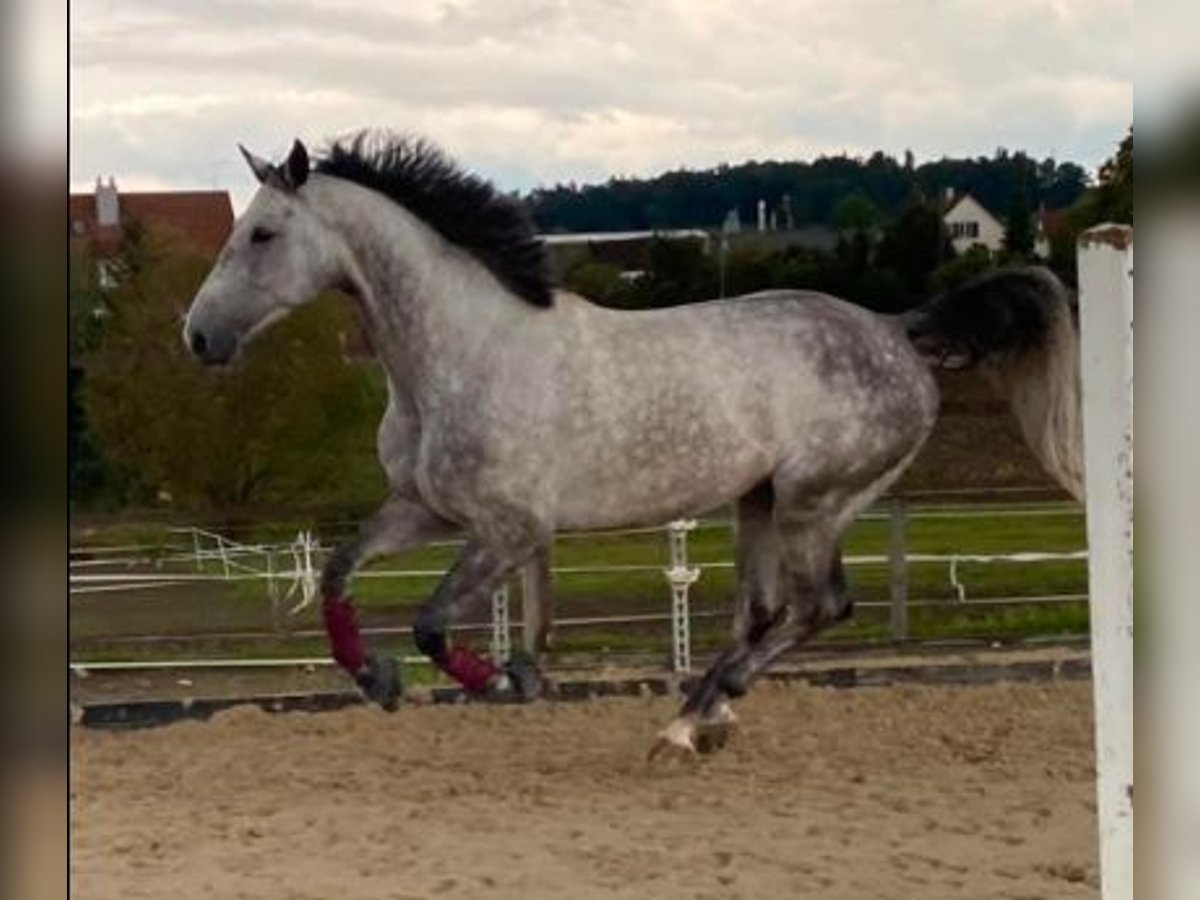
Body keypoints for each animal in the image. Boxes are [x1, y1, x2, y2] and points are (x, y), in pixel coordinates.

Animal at [182, 133, 1084, 763]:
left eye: (262, 235)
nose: (197, 337)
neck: (461, 350)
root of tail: (898, 330)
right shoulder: (424, 510)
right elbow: (338, 572)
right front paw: (377, 680)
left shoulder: (509, 531)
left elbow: (433, 621)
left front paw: (508, 676)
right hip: (759, 500)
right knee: (764, 613)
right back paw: (700, 717)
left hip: (814, 501)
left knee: (819, 607)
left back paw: (695, 719)